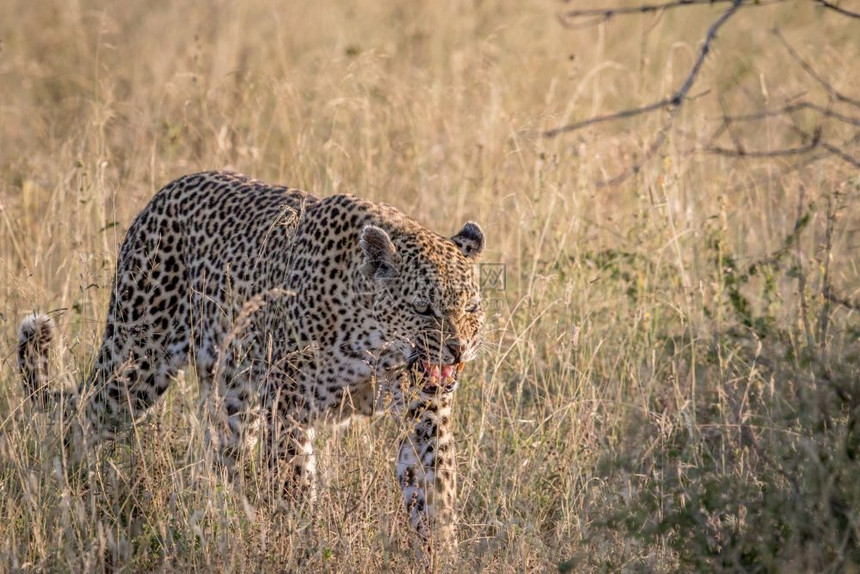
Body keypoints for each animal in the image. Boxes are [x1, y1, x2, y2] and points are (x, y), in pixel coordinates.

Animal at [16, 170, 484, 548]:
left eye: (472, 308)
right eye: (424, 309)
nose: (458, 348)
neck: (375, 350)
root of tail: (160, 196)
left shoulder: (426, 412)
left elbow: (434, 486)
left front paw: (440, 552)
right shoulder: (289, 404)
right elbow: (294, 485)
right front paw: (302, 545)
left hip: (232, 396)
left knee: (224, 459)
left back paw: (225, 520)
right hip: (136, 362)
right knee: (83, 419)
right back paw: (69, 494)